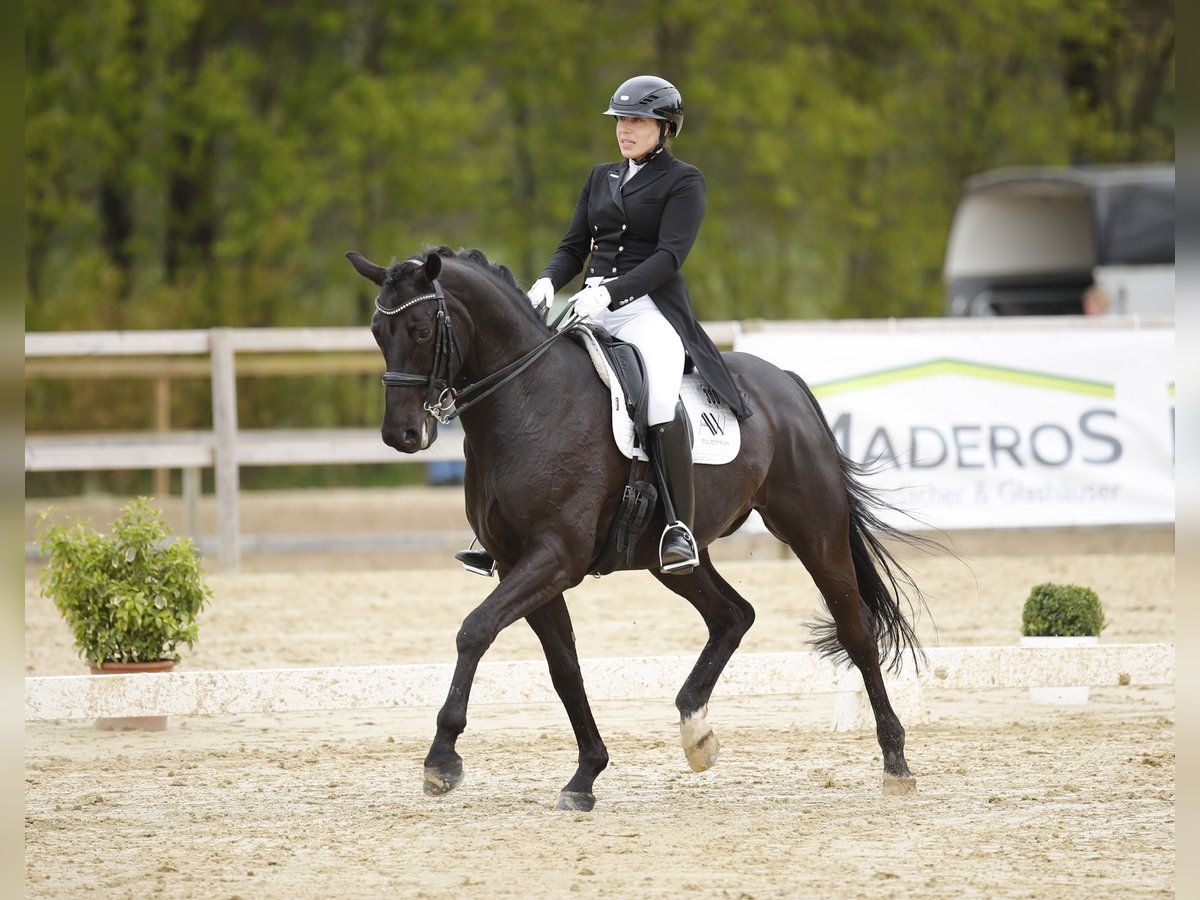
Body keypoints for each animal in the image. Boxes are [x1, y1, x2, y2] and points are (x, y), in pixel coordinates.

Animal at [348, 244, 936, 811]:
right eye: (377, 332)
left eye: (421, 331)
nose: (401, 434)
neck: (529, 401)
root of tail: (784, 383)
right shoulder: (521, 563)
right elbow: (564, 668)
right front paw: (585, 776)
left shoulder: (555, 557)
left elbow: (475, 630)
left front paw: (441, 760)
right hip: (668, 556)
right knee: (733, 615)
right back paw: (696, 734)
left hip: (814, 529)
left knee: (856, 630)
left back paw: (896, 764)